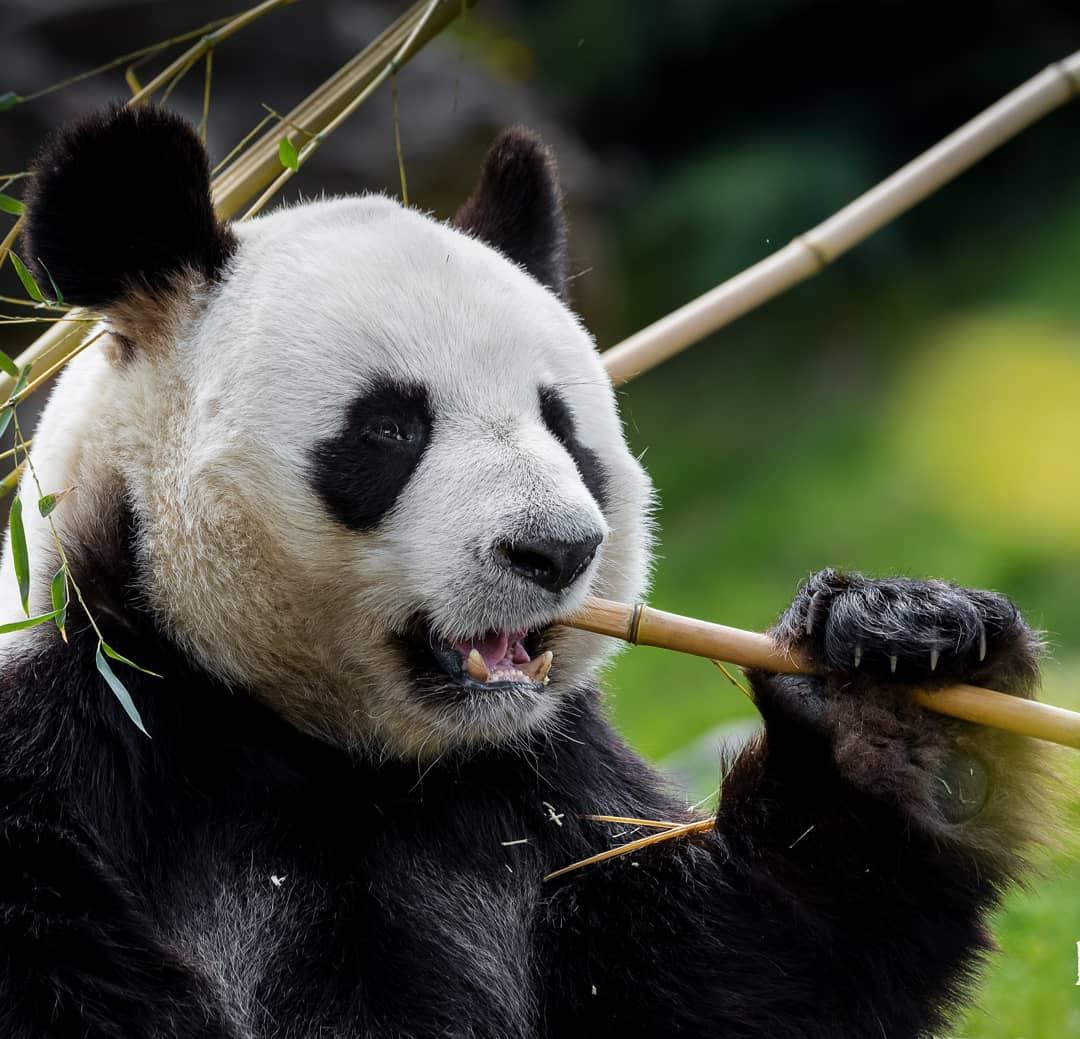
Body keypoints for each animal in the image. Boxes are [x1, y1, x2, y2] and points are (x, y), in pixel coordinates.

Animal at [0, 105, 1048, 1038]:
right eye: (391, 427)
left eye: (562, 424)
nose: (555, 549)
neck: (335, 752)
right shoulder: (88, 734)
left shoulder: (539, 784)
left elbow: (733, 973)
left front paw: (896, 691)